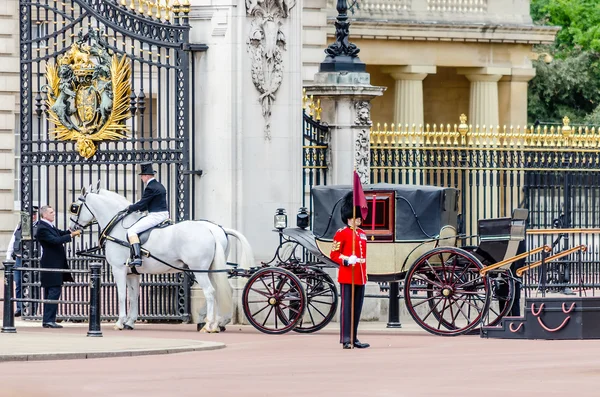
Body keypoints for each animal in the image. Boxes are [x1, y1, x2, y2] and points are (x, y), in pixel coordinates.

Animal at [69, 185, 254, 332]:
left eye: (75, 207)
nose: (72, 228)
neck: (120, 229)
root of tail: (212, 229)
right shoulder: (132, 273)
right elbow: (133, 296)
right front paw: (130, 322)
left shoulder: (118, 269)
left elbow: (121, 295)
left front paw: (120, 322)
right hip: (210, 270)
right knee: (221, 291)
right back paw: (216, 323)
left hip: (199, 271)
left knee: (210, 292)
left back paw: (209, 325)